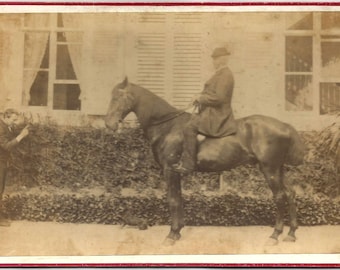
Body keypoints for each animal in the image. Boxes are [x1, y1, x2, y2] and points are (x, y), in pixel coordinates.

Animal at [104, 77, 306, 246]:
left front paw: (171, 234)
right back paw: (291, 234)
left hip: (269, 168)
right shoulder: (176, 173)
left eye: (118, 97)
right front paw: (178, 231)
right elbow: (179, 199)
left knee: (280, 197)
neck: (167, 126)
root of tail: (285, 125)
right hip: (278, 168)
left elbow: (172, 200)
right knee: (290, 194)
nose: (109, 124)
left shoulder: (169, 170)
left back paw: (275, 235)